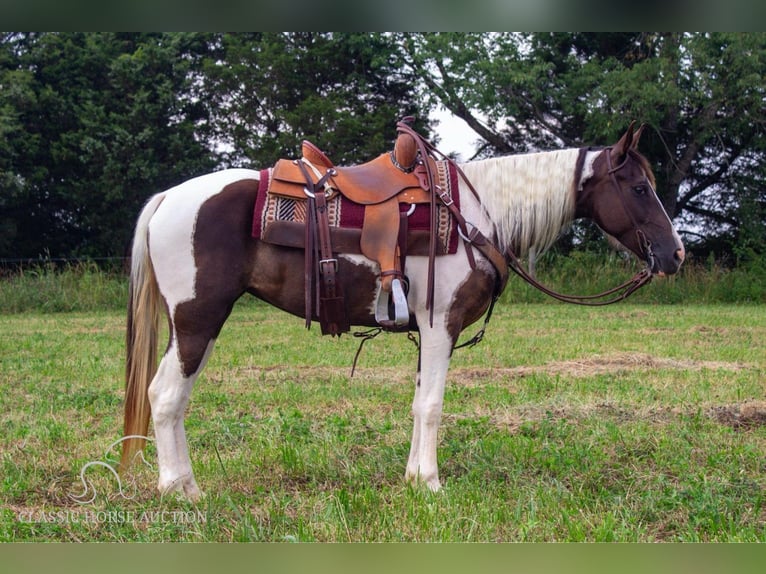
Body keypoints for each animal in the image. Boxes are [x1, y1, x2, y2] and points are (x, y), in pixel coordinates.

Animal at [121, 122, 688, 500]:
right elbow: (432, 406)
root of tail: (169, 197)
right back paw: (180, 491)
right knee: (165, 396)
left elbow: (419, 403)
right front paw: (432, 484)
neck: (476, 214)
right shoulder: (441, 326)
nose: (677, 254)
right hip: (197, 319)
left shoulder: (430, 332)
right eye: (640, 188)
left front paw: (415, 478)